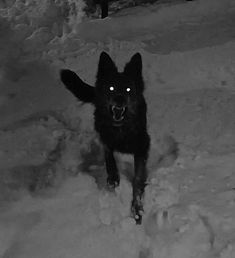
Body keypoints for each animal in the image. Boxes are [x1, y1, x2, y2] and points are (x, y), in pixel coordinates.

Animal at [59, 52, 150, 224]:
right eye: (111, 88)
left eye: (128, 89)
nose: (119, 100)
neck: (120, 128)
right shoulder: (105, 136)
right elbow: (108, 155)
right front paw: (113, 177)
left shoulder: (142, 145)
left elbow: (137, 179)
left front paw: (137, 209)